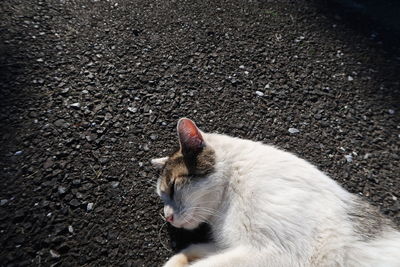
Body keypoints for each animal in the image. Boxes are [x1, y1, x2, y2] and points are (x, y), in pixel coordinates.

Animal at [151, 119, 400, 267]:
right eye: (162, 196)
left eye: (172, 186)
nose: (167, 216)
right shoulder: (234, 247)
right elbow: (194, 251)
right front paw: (178, 260)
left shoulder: (275, 254)